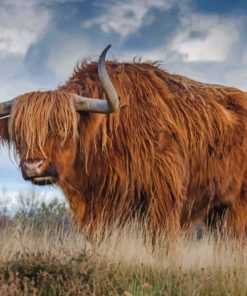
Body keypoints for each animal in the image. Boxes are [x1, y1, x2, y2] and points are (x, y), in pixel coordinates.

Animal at [0, 44, 247, 238]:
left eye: (62, 129)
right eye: (19, 134)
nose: (33, 166)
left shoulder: (163, 200)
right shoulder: (98, 211)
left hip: (236, 207)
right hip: (217, 212)